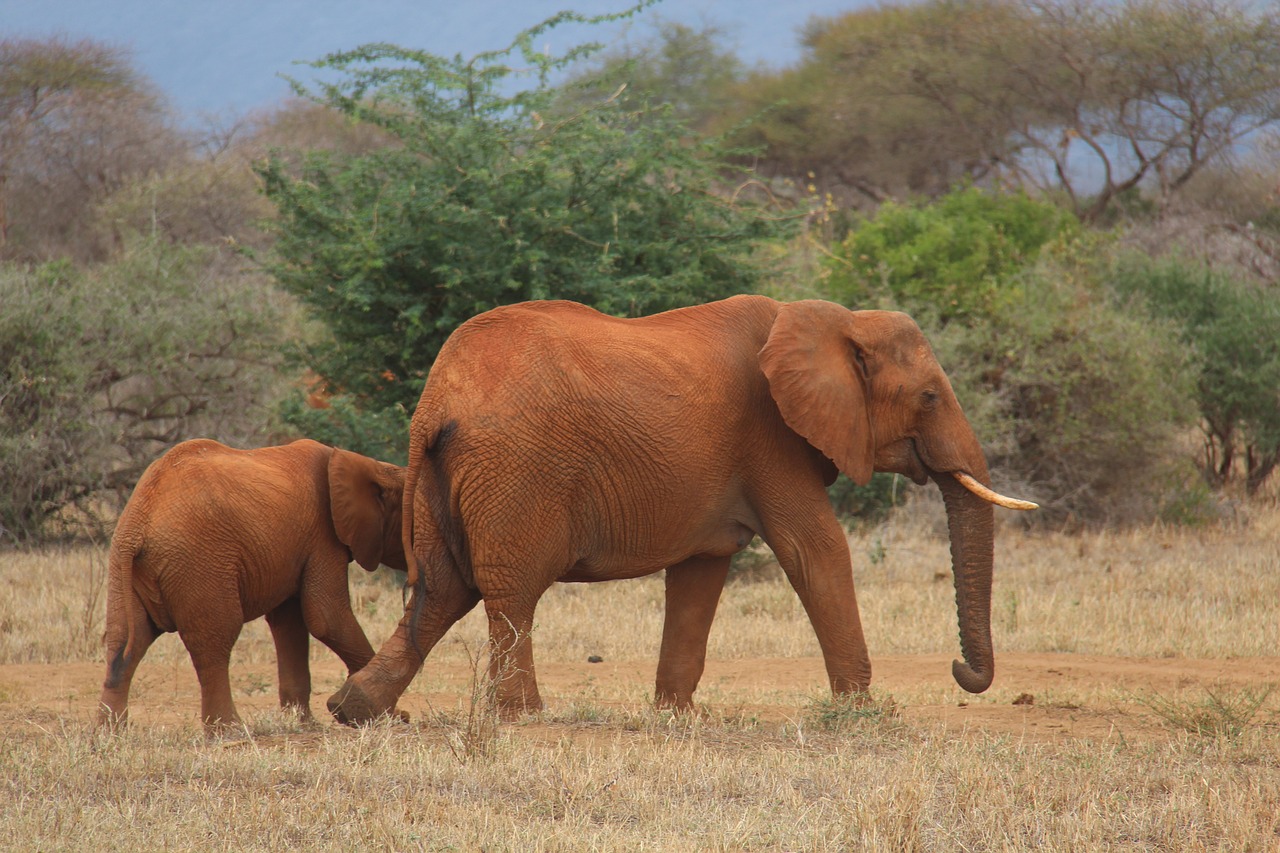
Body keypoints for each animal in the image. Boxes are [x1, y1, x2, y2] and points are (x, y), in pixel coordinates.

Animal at [97, 435, 407, 727]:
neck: (371, 465)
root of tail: (137, 523)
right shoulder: (323, 537)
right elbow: (326, 618)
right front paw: (392, 717)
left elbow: (289, 624)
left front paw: (303, 723)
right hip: (198, 561)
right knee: (214, 639)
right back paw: (229, 730)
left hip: (125, 567)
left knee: (125, 641)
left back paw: (110, 732)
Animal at [325, 295, 1034, 722]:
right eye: (930, 397)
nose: (961, 670)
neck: (834, 319)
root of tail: (436, 402)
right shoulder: (770, 438)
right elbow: (816, 550)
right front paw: (862, 712)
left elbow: (701, 573)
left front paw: (675, 717)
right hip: (517, 472)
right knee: (508, 591)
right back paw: (521, 715)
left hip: (445, 480)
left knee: (441, 590)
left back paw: (354, 710)